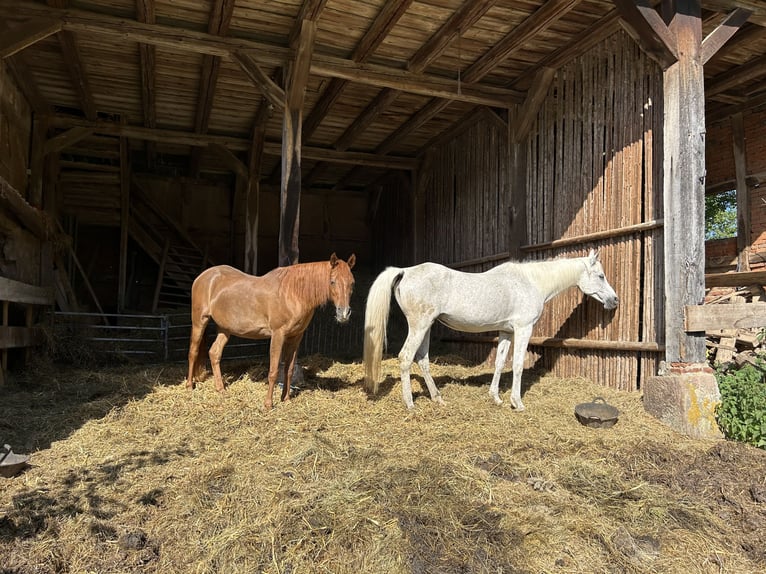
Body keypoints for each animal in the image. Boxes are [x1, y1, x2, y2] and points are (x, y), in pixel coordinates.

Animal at [187, 253, 356, 409]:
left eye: (352, 283)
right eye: (332, 282)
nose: (344, 314)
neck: (292, 293)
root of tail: (204, 276)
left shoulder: (296, 337)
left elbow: (289, 369)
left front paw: (286, 399)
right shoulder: (278, 335)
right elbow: (274, 371)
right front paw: (268, 404)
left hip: (225, 329)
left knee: (214, 353)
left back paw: (220, 389)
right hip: (200, 321)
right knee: (193, 352)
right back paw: (189, 385)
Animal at [363, 249, 618, 411]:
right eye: (600, 275)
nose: (614, 300)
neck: (531, 282)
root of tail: (405, 271)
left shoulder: (506, 331)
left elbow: (499, 362)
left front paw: (496, 398)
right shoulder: (523, 329)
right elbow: (517, 365)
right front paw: (517, 403)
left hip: (426, 327)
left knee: (422, 359)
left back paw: (438, 399)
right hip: (419, 325)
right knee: (406, 357)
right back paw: (410, 404)